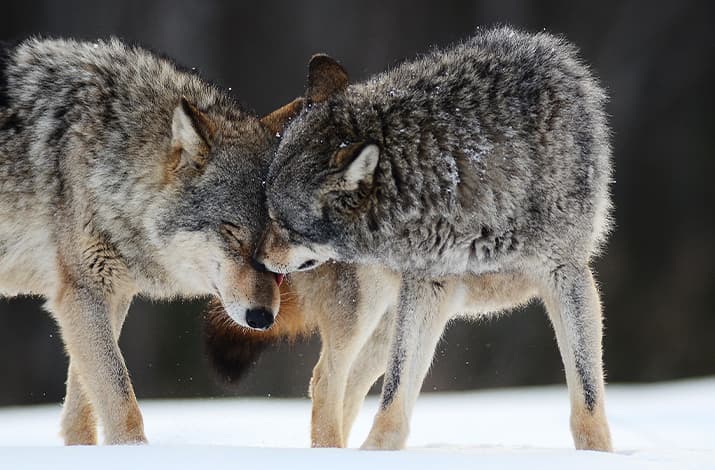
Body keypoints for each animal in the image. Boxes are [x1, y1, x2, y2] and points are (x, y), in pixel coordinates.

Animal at [0, 36, 300, 444]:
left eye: (278, 248)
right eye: (231, 233)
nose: (262, 318)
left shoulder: (111, 294)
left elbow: (83, 404)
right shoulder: (83, 292)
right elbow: (120, 398)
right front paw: (133, 450)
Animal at [253, 28, 616, 452]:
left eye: (282, 222)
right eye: (268, 212)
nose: (256, 258)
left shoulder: (567, 275)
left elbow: (587, 396)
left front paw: (599, 455)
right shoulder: (428, 285)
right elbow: (394, 397)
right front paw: (376, 454)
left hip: (387, 320)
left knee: (347, 381)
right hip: (367, 310)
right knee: (326, 378)